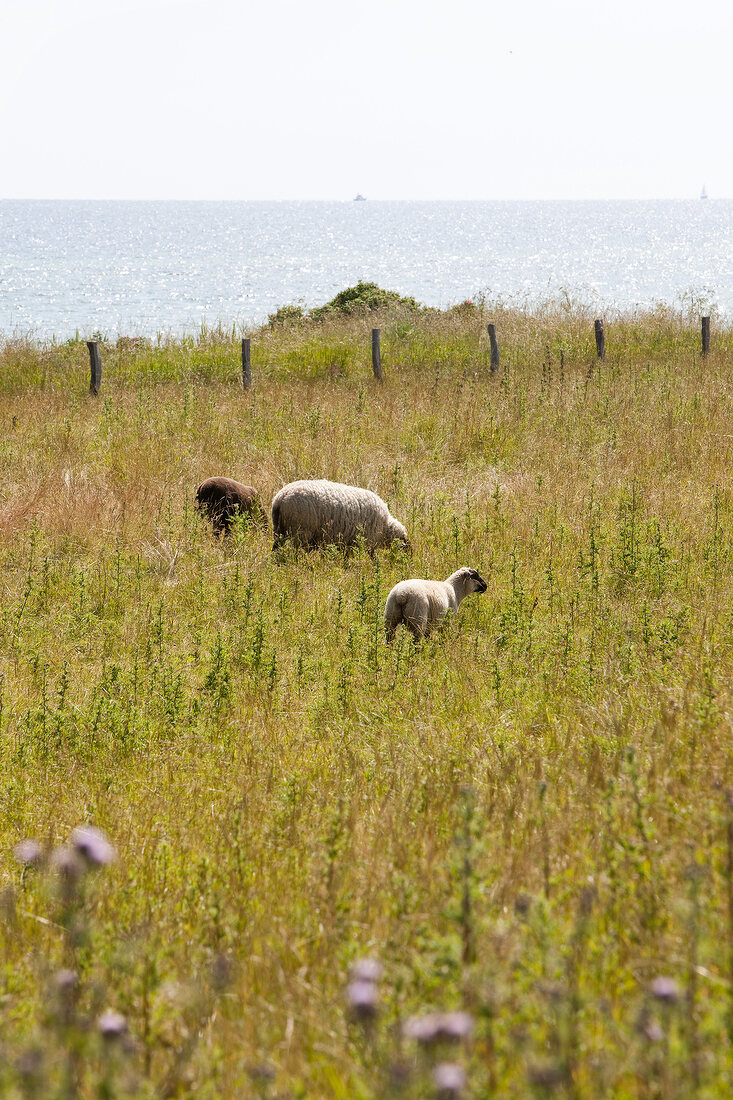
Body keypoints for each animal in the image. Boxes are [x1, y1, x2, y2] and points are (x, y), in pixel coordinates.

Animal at [269, 479, 407, 554]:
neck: (385, 526)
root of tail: (281, 498)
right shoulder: (366, 540)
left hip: (279, 529)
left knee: (276, 547)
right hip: (301, 530)